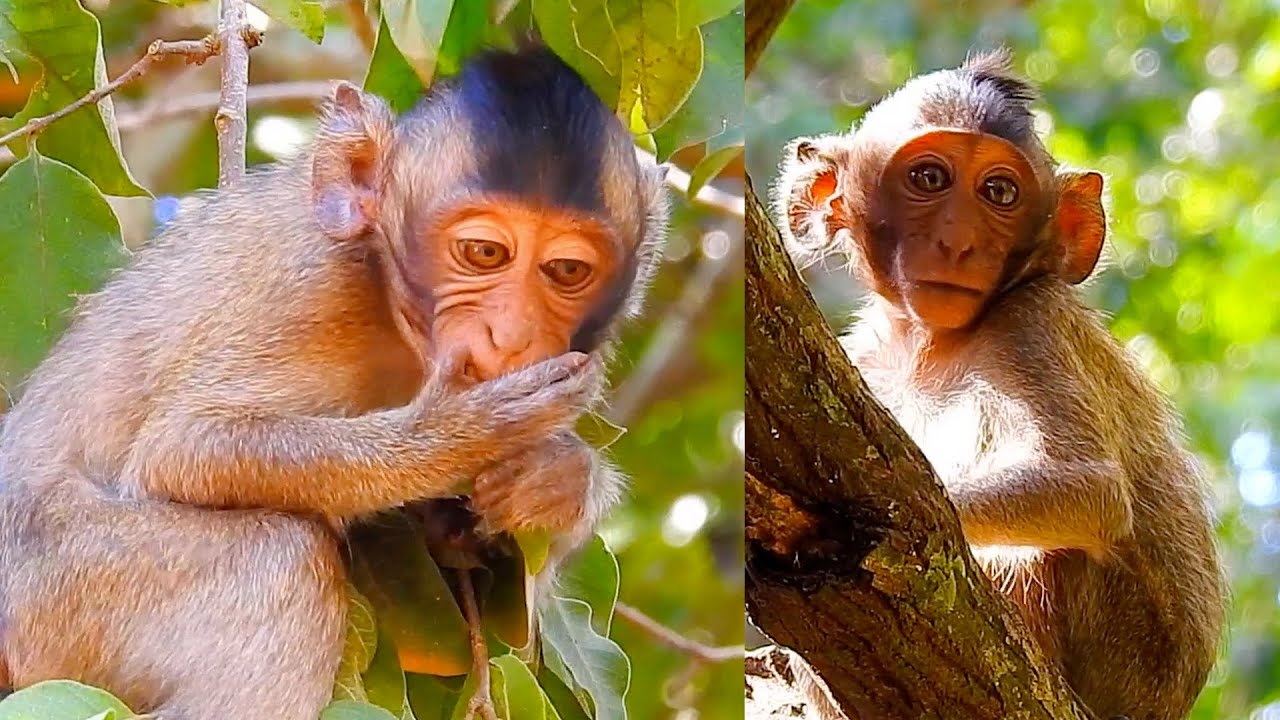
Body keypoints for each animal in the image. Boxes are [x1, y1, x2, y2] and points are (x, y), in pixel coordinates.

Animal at [0, 45, 667, 719]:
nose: (511, 337)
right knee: (282, 559)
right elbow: (184, 447)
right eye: (484, 253)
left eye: (567, 270)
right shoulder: (313, 290)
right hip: (55, 586)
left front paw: (561, 479)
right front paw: (460, 433)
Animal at [773, 50, 1224, 720]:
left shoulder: (1030, 321)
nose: (959, 241)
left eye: (1000, 193)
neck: (929, 345)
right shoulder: (865, 356)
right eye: (929, 178)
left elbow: (1089, 490)